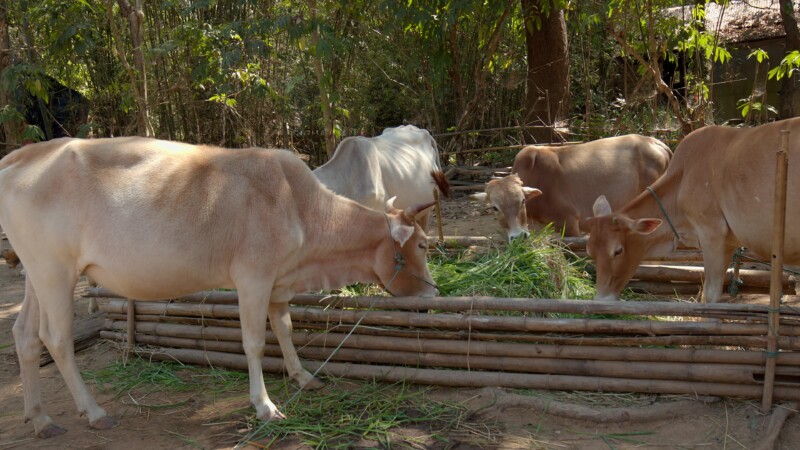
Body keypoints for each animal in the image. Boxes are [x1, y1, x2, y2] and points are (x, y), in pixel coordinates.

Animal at [0, 136, 438, 438]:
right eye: (421, 244)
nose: (434, 293)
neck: (300, 206)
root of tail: (19, 156)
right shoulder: (253, 278)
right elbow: (255, 343)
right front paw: (264, 405)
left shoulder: (278, 281)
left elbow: (285, 329)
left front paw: (303, 377)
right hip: (55, 271)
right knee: (56, 337)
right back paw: (93, 412)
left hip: (37, 274)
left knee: (24, 335)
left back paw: (40, 418)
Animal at [585, 118, 800, 302]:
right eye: (590, 251)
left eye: (618, 251)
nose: (601, 300)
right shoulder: (729, 242)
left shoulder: (712, 232)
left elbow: (710, 295)